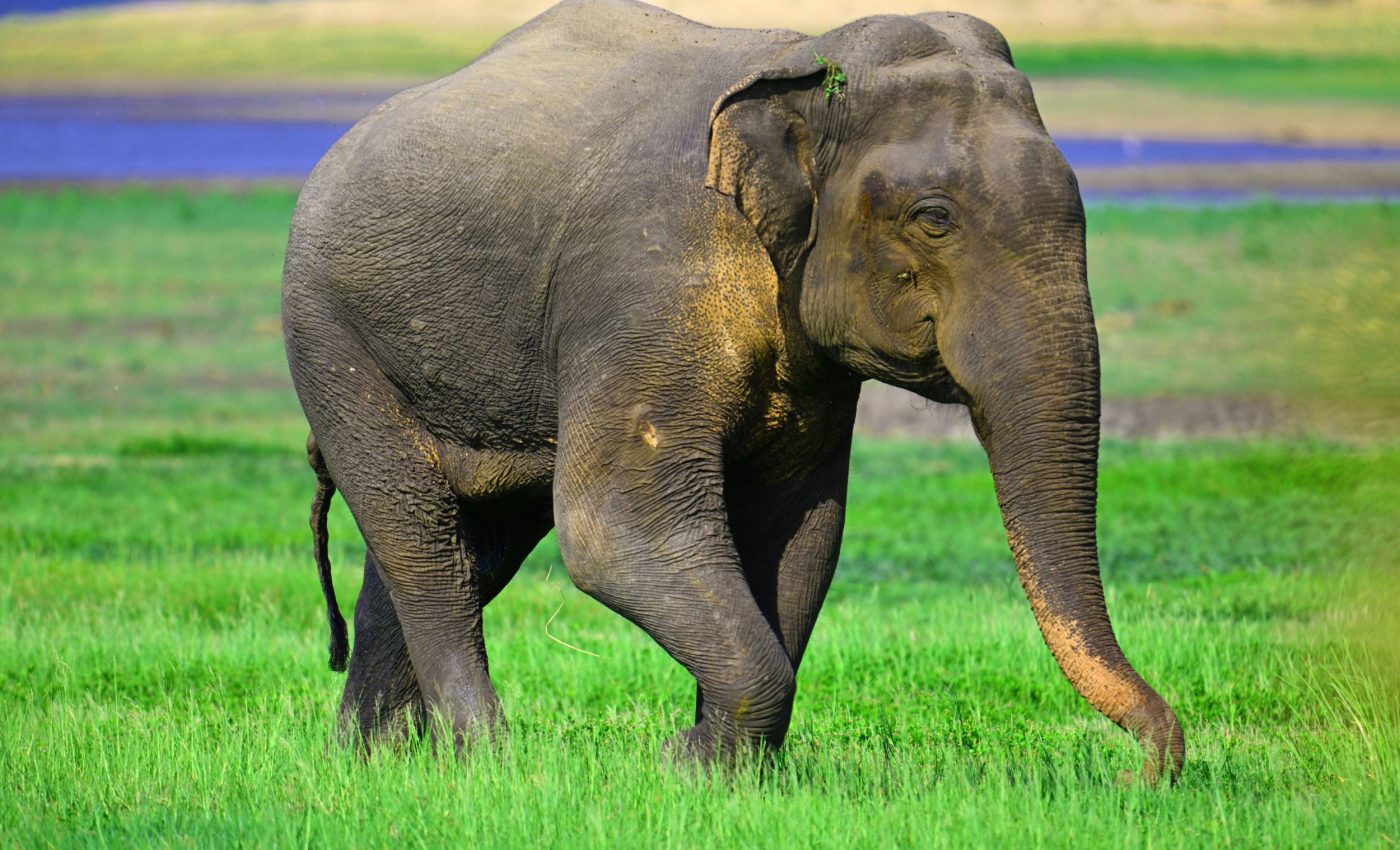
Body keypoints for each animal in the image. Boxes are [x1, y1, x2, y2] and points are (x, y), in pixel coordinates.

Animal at [282, 0, 1185, 783]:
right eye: (933, 218)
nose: (1141, 772)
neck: (803, 59)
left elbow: (798, 532)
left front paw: (720, 770)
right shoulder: (643, 283)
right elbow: (615, 529)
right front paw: (684, 763)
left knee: (466, 546)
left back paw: (370, 760)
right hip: (331, 339)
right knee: (420, 540)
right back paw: (484, 760)